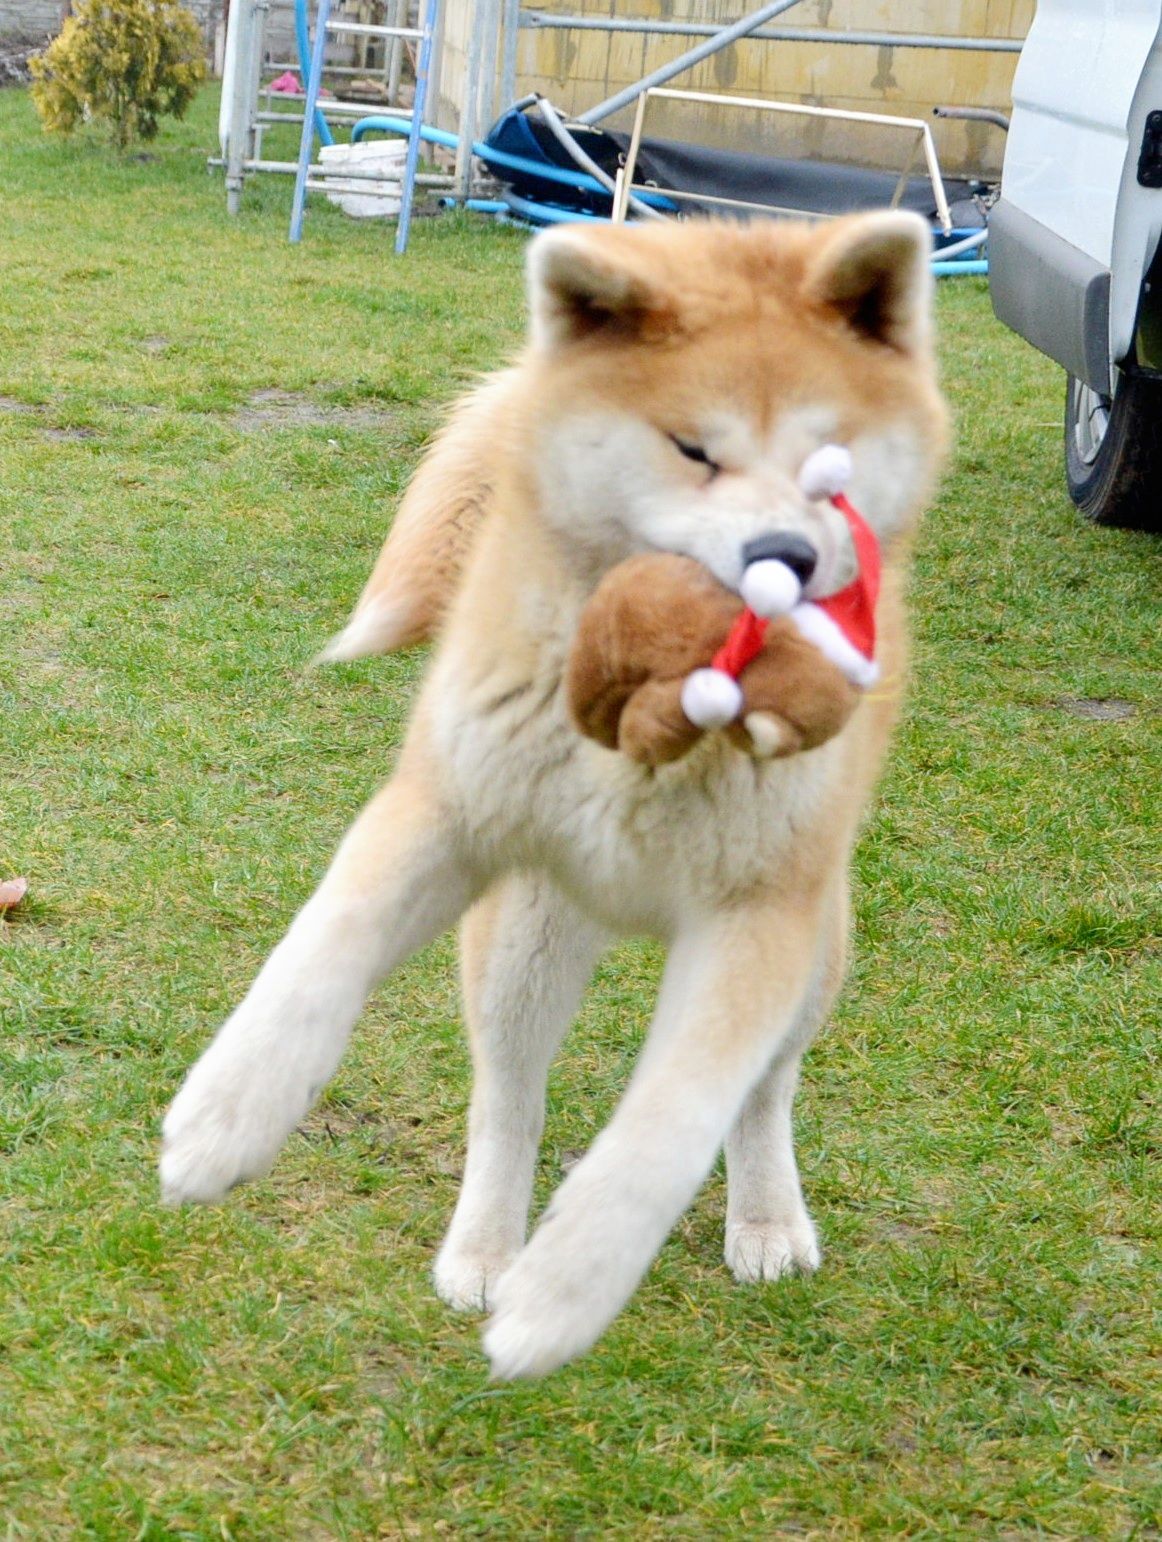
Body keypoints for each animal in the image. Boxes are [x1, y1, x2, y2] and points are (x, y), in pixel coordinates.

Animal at [161, 211, 943, 1381]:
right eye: (692, 449)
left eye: (830, 467)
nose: (785, 561)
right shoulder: (442, 813)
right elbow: (310, 960)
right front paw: (222, 1123)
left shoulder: (757, 919)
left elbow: (672, 1123)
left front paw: (564, 1297)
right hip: (525, 935)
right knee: (509, 1097)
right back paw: (484, 1246)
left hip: (815, 946)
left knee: (763, 1093)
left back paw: (763, 1220)